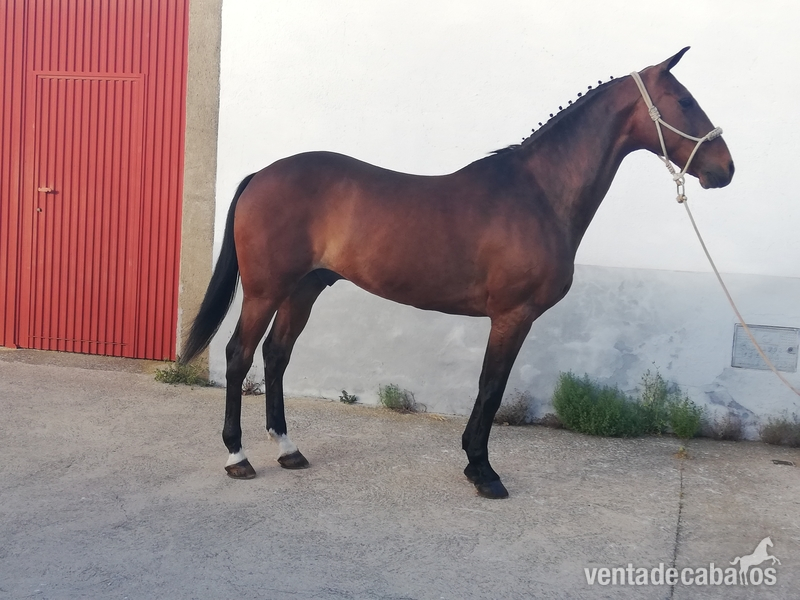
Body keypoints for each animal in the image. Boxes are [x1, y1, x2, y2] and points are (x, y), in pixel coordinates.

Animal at [181, 47, 734, 499]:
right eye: (684, 100)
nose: (724, 169)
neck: (538, 193)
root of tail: (261, 174)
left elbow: (490, 389)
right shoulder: (512, 316)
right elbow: (490, 389)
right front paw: (482, 471)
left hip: (304, 289)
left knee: (276, 356)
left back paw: (288, 450)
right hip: (265, 290)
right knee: (239, 355)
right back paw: (237, 456)